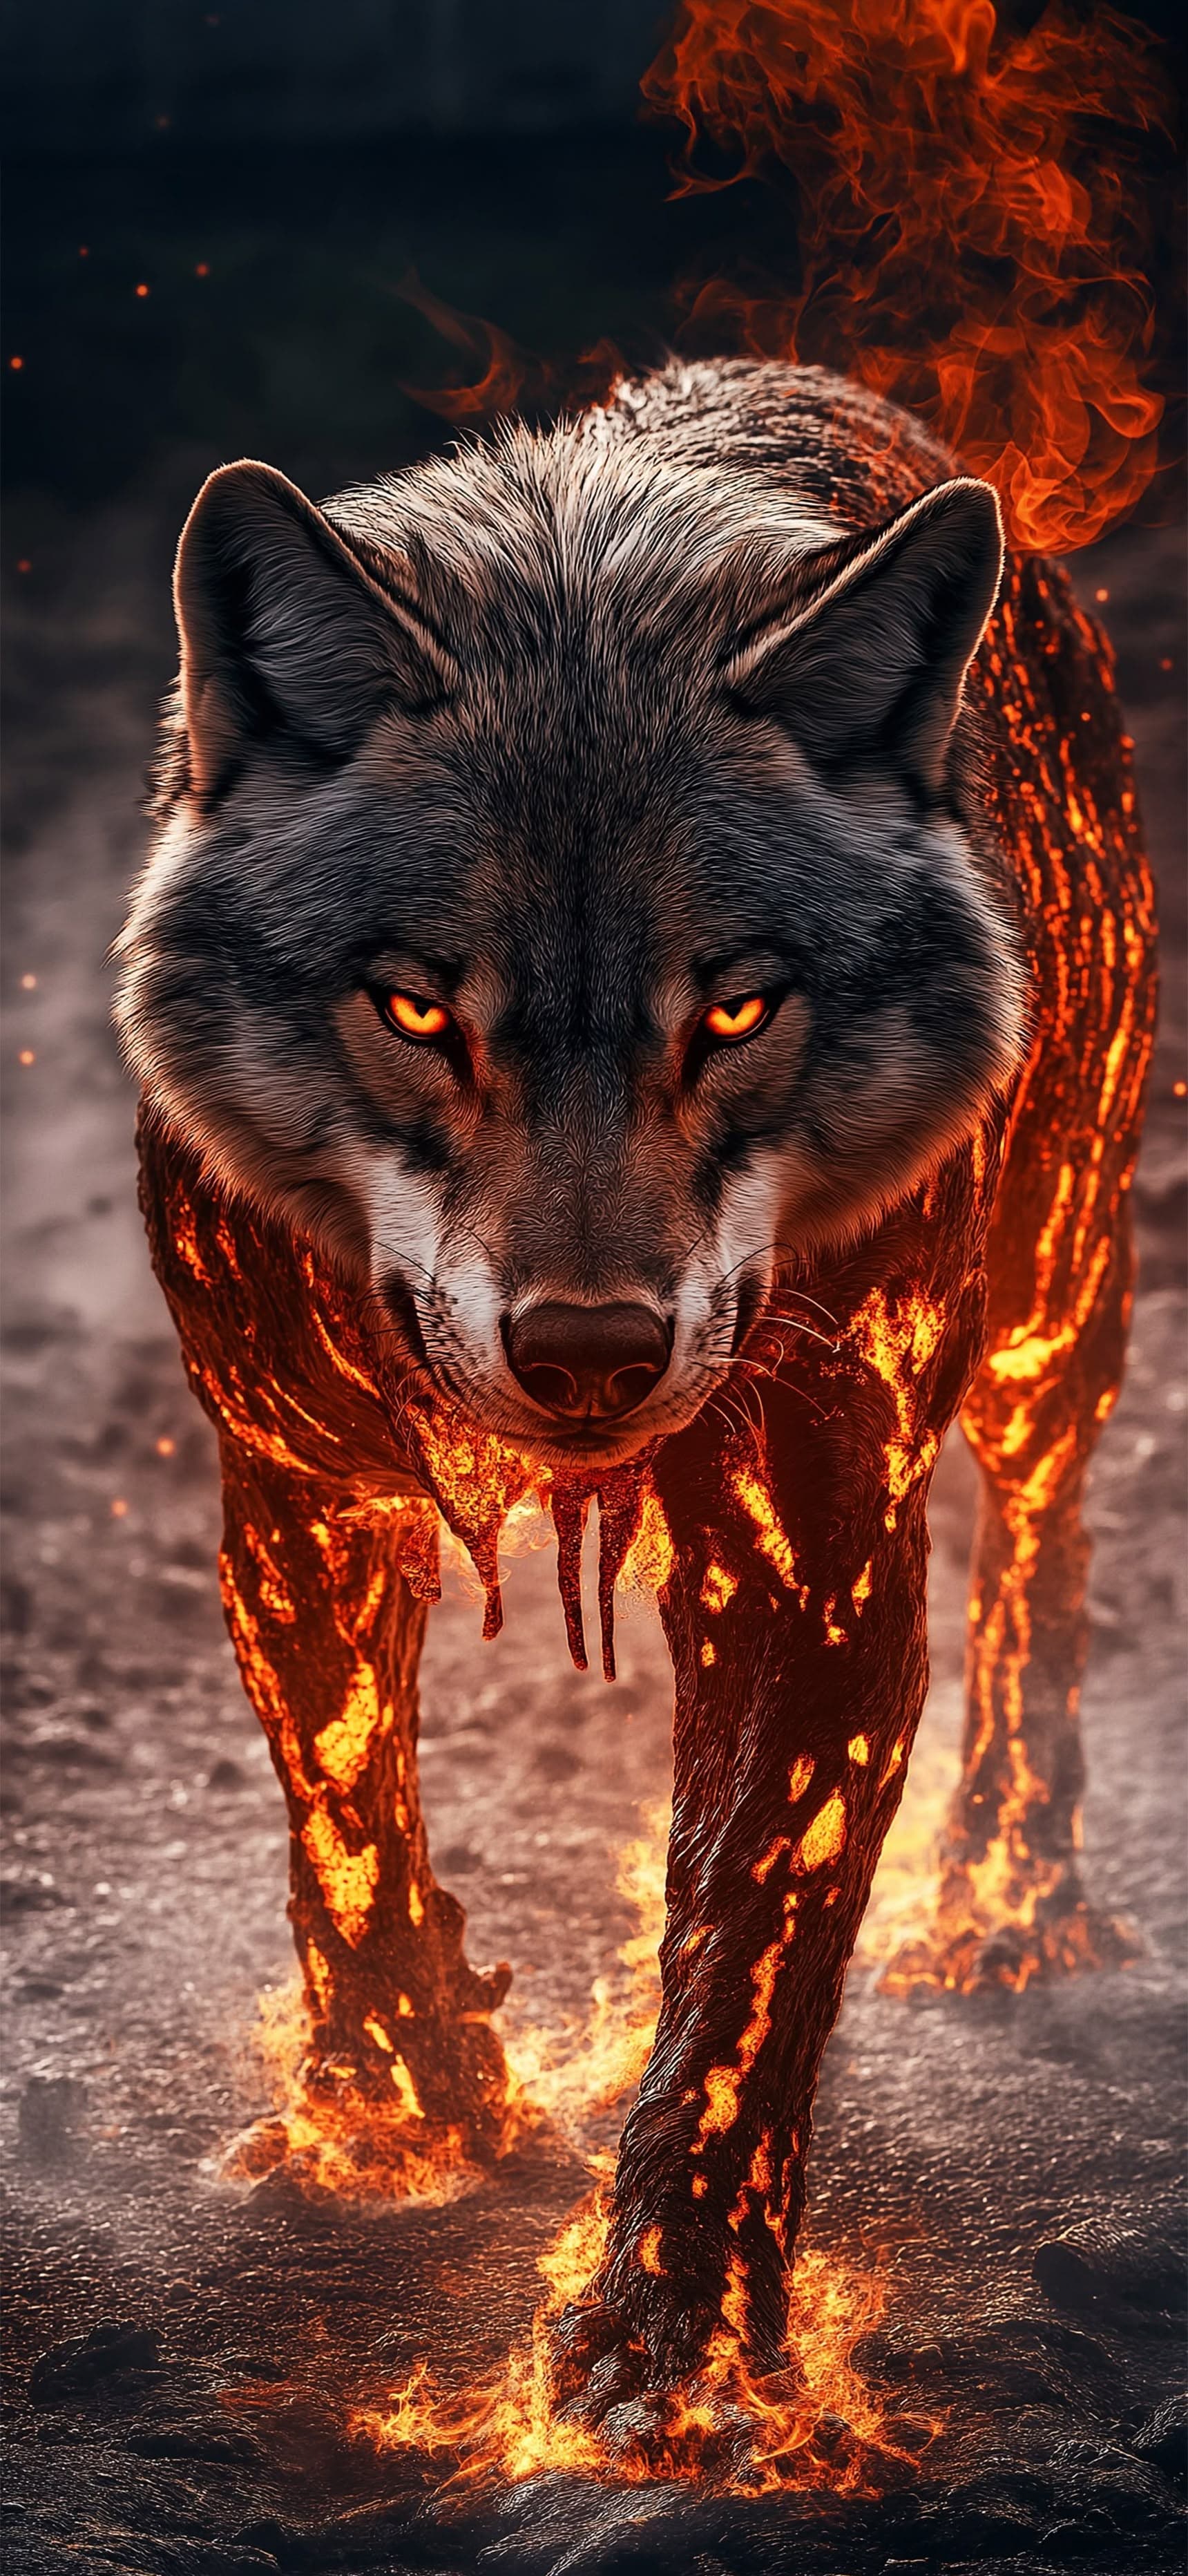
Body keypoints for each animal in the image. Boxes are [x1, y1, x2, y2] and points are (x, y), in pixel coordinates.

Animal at [116, 359, 1154, 2405]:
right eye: (417, 1006)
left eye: (734, 1008)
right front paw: (405, 2103)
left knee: (1045, 1565)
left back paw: (1007, 1894)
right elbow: (346, 1824)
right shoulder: (297, 1487)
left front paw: (670, 2343)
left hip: (1046, 1317)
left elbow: (745, 1944)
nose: (590, 1352)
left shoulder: (817, 1549)